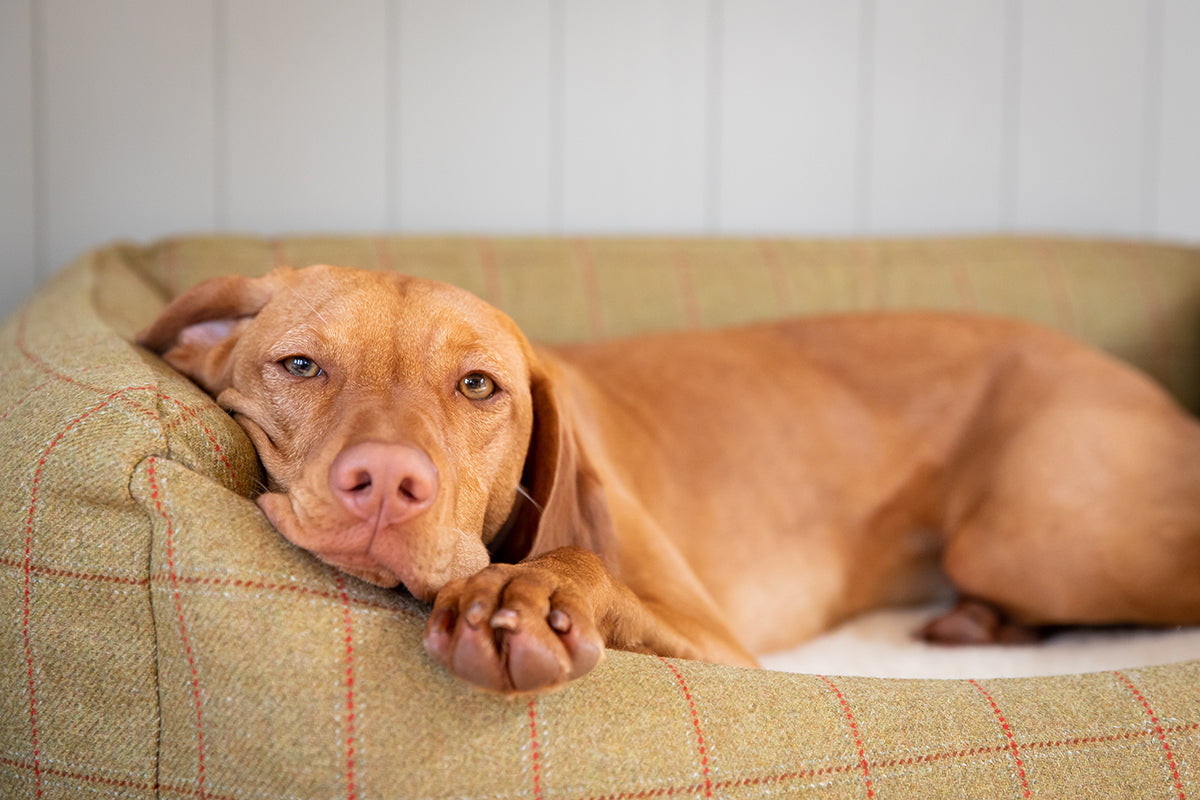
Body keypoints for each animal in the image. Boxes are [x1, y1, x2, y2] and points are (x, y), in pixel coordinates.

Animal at [136, 266, 1200, 690]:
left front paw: (526, 597)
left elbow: (584, 564)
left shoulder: (722, 646)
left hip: (1030, 541)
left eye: (478, 386)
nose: (387, 482)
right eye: (300, 366)